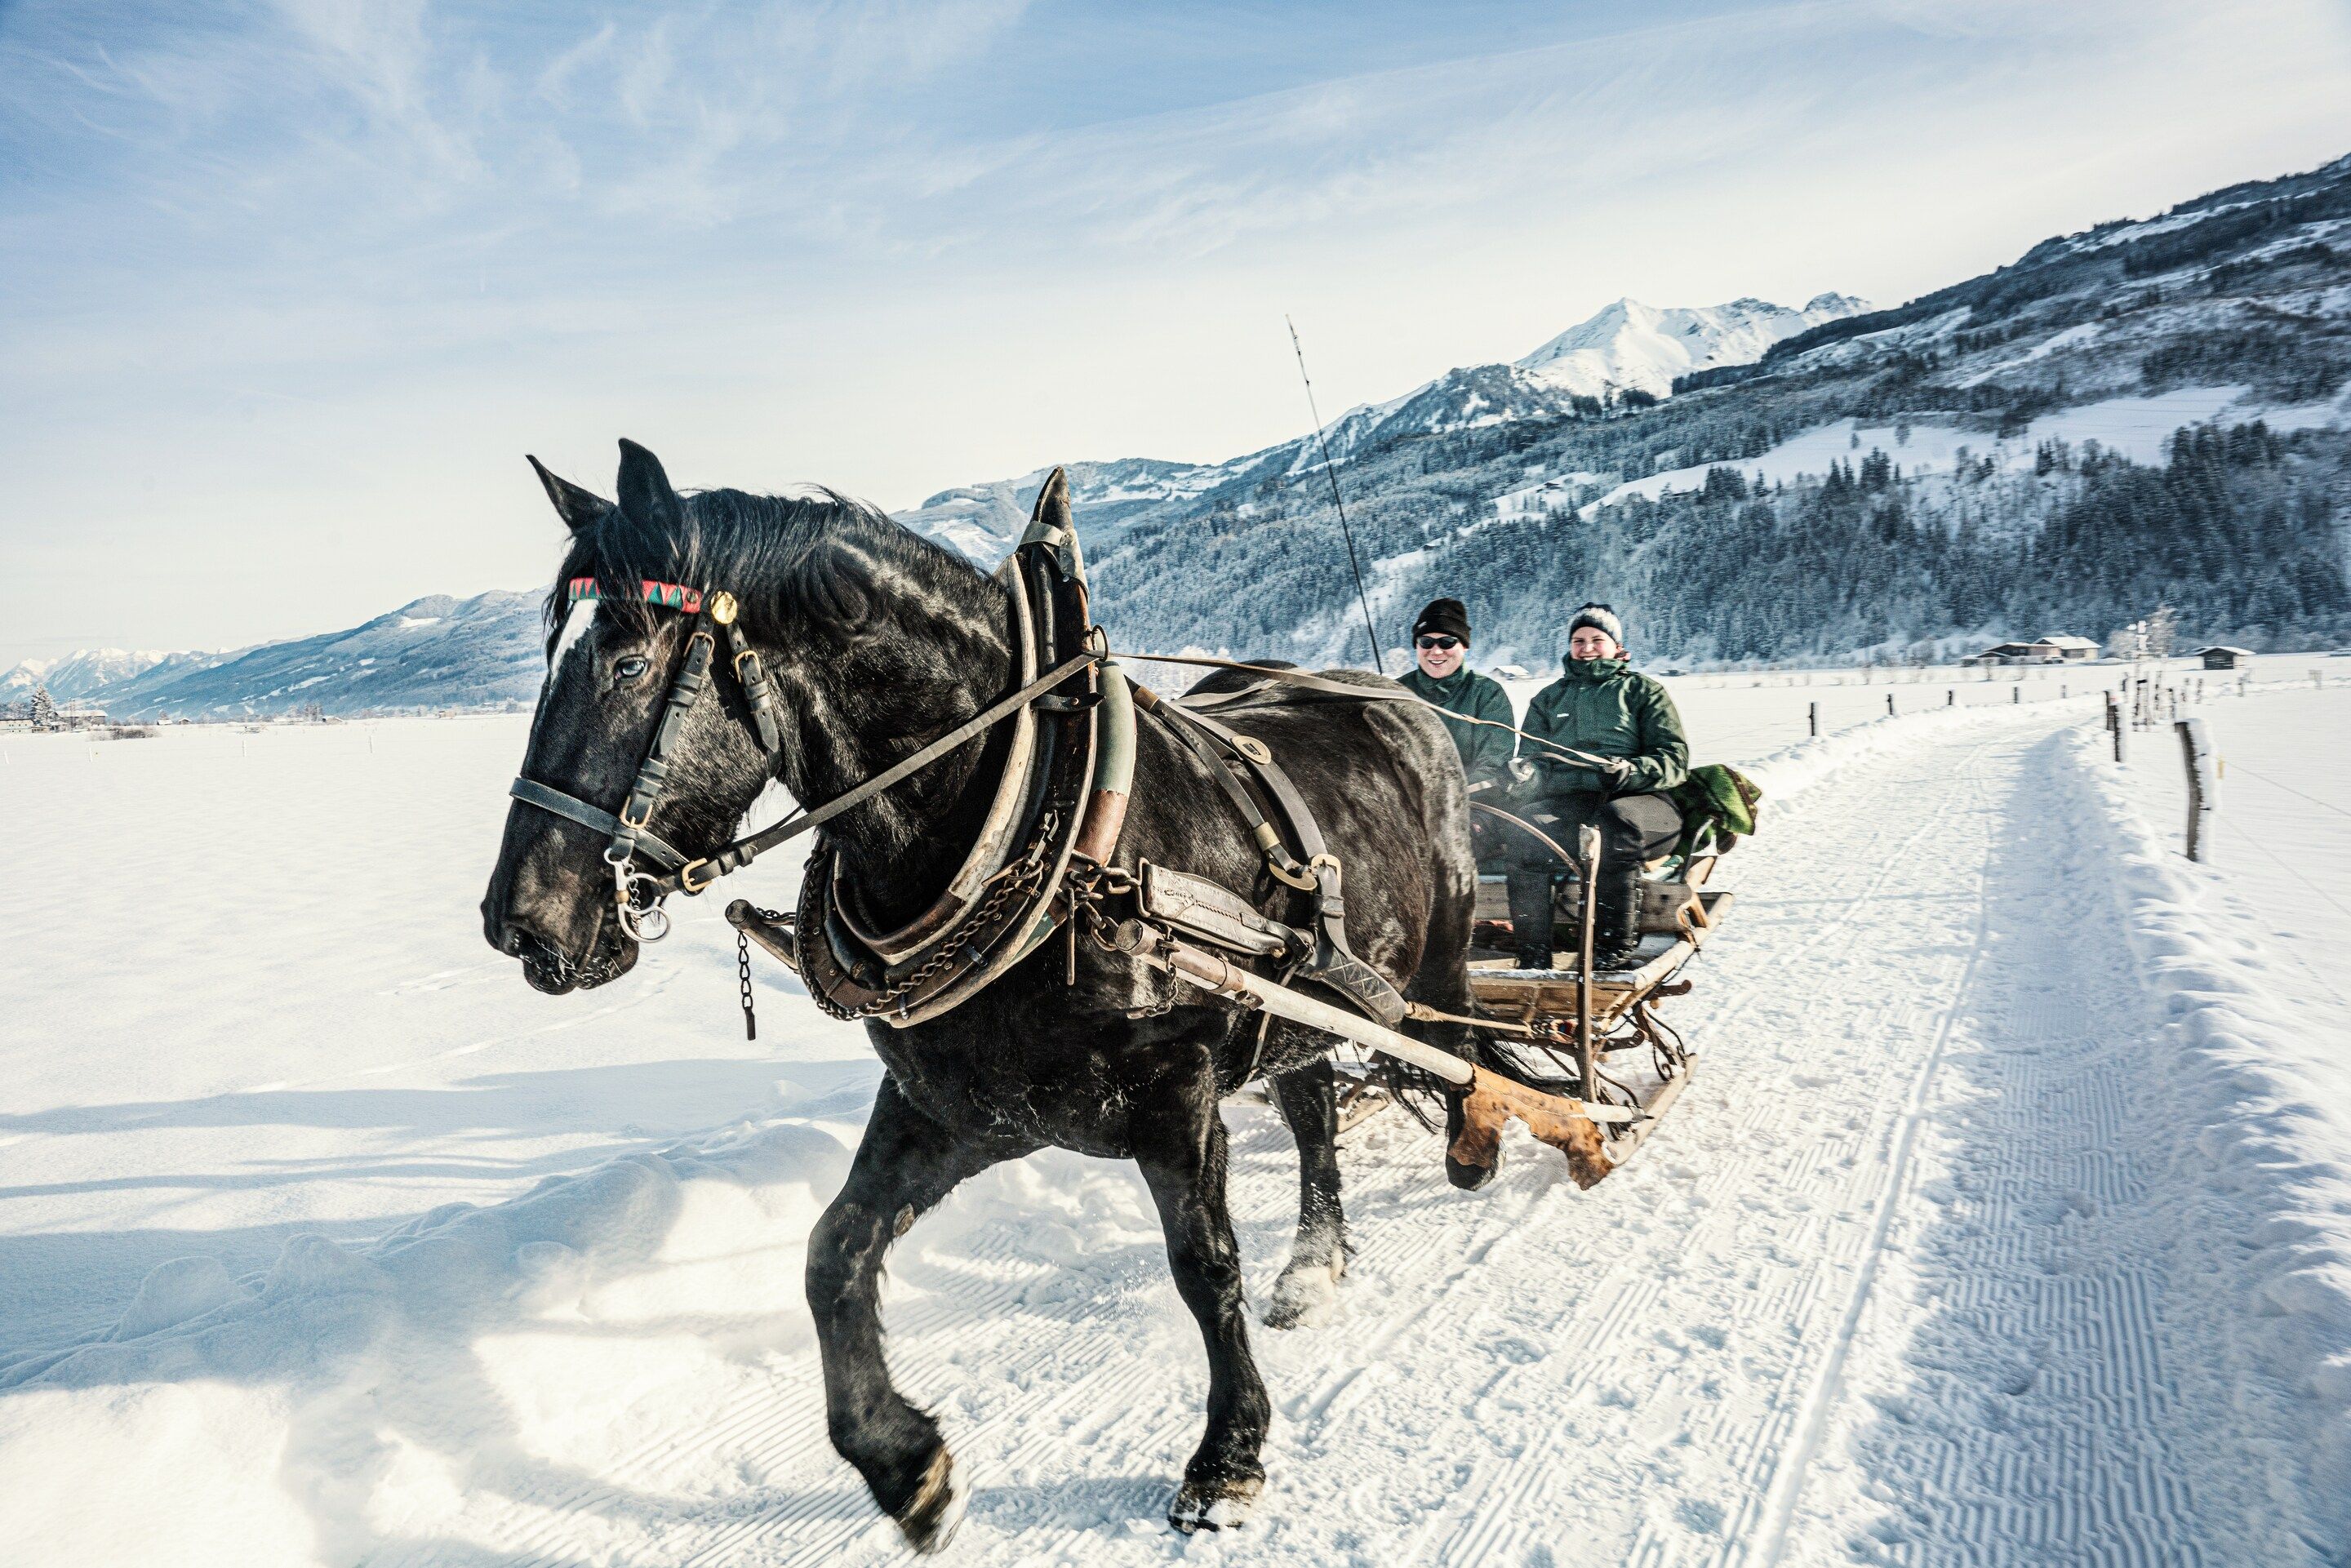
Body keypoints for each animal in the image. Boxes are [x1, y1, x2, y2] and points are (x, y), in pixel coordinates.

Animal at [481, 439, 1487, 1548]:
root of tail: (1399, 698)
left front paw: (1228, 1455)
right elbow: (833, 1251)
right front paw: (901, 1461)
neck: (1040, 815)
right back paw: (1313, 1264)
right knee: (1312, 1104)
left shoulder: (1176, 1088)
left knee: (1464, 1059)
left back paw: (1486, 1142)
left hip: (1434, 959)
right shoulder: (960, 1104)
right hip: (1294, 1009)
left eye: (628, 664)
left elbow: (1203, 1264)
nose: (519, 924)